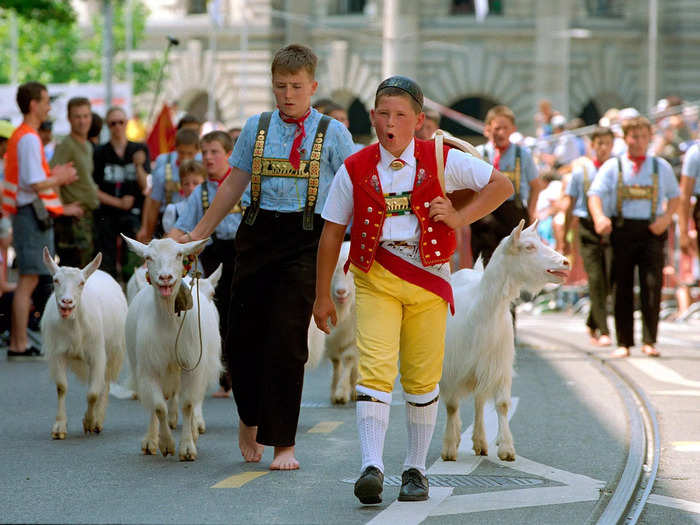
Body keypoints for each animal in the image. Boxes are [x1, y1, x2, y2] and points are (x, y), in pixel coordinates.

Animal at [40, 248, 127, 436]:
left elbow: (93, 393)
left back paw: (98, 421)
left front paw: (89, 421)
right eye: (55, 280)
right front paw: (59, 427)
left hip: (113, 352)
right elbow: (61, 387)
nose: (66, 302)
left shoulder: (97, 355)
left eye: (81, 283)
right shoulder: (58, 354)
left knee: (105, 384)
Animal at [121, 235, 221, 460]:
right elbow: (159, 407)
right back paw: (150, 440)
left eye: (179, 254)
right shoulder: (149, 367)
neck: (169, 324)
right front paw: (165, 444)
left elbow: (188, 403)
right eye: (148, 257)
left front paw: (187, 447)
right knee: (154, 404)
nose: (165, 277)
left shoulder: (192, 364)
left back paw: (193, 430)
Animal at [308, 239, 358, 404]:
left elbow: (348, 359)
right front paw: (335, 389)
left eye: (352, 273)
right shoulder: (330, 338)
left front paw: (342, 393)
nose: (341, 291)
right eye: (333, 272)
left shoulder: (354, 335)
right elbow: (336, 361)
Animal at [442, 221, 568, 462]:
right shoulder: (450, 368)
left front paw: (507, 449)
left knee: (480, 400)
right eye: (529, 247)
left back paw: (480, 442)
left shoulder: (499, 366)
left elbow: (502, 404)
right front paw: (450, 448)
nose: (566, 262)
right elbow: (452, 406)